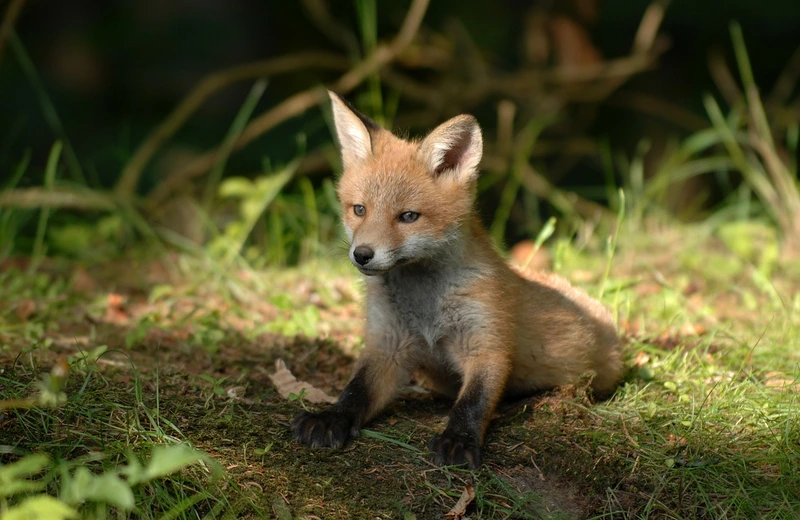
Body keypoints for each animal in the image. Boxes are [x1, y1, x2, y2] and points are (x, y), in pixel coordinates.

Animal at [290, 91, 620, 470]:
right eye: (359, 210)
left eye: (408, 217)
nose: (362, 254)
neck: (426, 304)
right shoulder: (387, 345)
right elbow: (356, 391)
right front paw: (331, 417)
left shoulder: (486, 343)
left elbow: (473, 402)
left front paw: (459, 440)